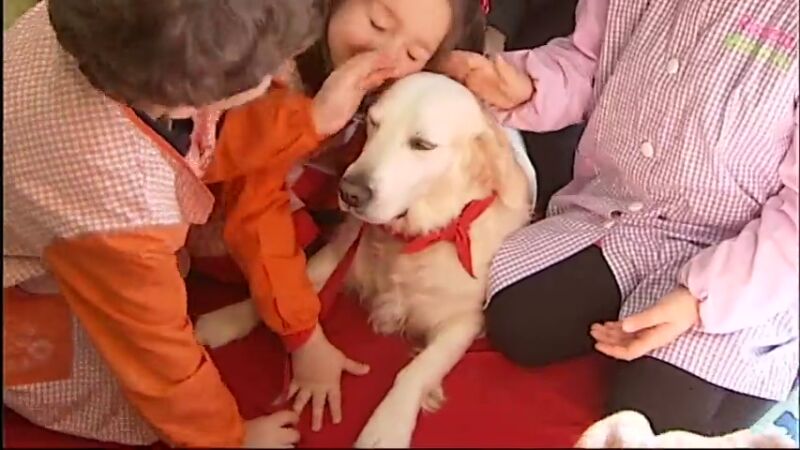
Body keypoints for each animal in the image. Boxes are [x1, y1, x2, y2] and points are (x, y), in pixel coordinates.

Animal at [194, 72, 533, 447]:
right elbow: (297, 280)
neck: (413, 239)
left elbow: (417, 370)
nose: (350, 193)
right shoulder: (344, 250)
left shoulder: (465, 320)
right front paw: (228, 318)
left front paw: (386, 427)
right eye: (373, 123)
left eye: (422, 145)